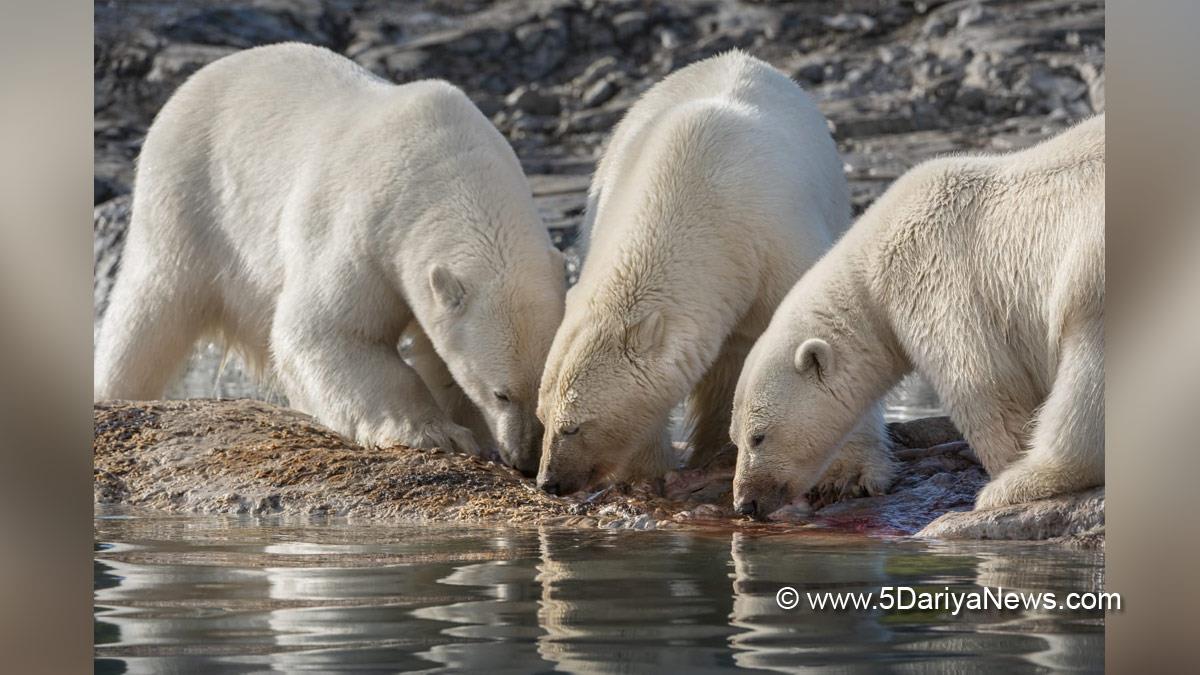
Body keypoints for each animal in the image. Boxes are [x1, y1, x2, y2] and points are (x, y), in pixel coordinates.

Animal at [93, 43, 566, 474]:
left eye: (544, 393)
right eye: (501, 393)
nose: (527, 460)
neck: (446, 166)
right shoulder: (366, 228)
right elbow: (328, 330)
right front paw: (435, 433)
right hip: (187, 197)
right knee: (151, 311)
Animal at [535, 50, 893, 496]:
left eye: (573, 427)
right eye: (542, 418)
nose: (548, 481)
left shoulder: (776, 238)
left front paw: (851, 474)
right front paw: (649, 473)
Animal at [730, 114, 1105, 518]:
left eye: (758, 436)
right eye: (735, 438)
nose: (745, 503)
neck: (872, 264)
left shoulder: (937, 280)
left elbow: (984, 385)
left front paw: (1006, 464)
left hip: (1090, 256)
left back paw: (1019, 483)